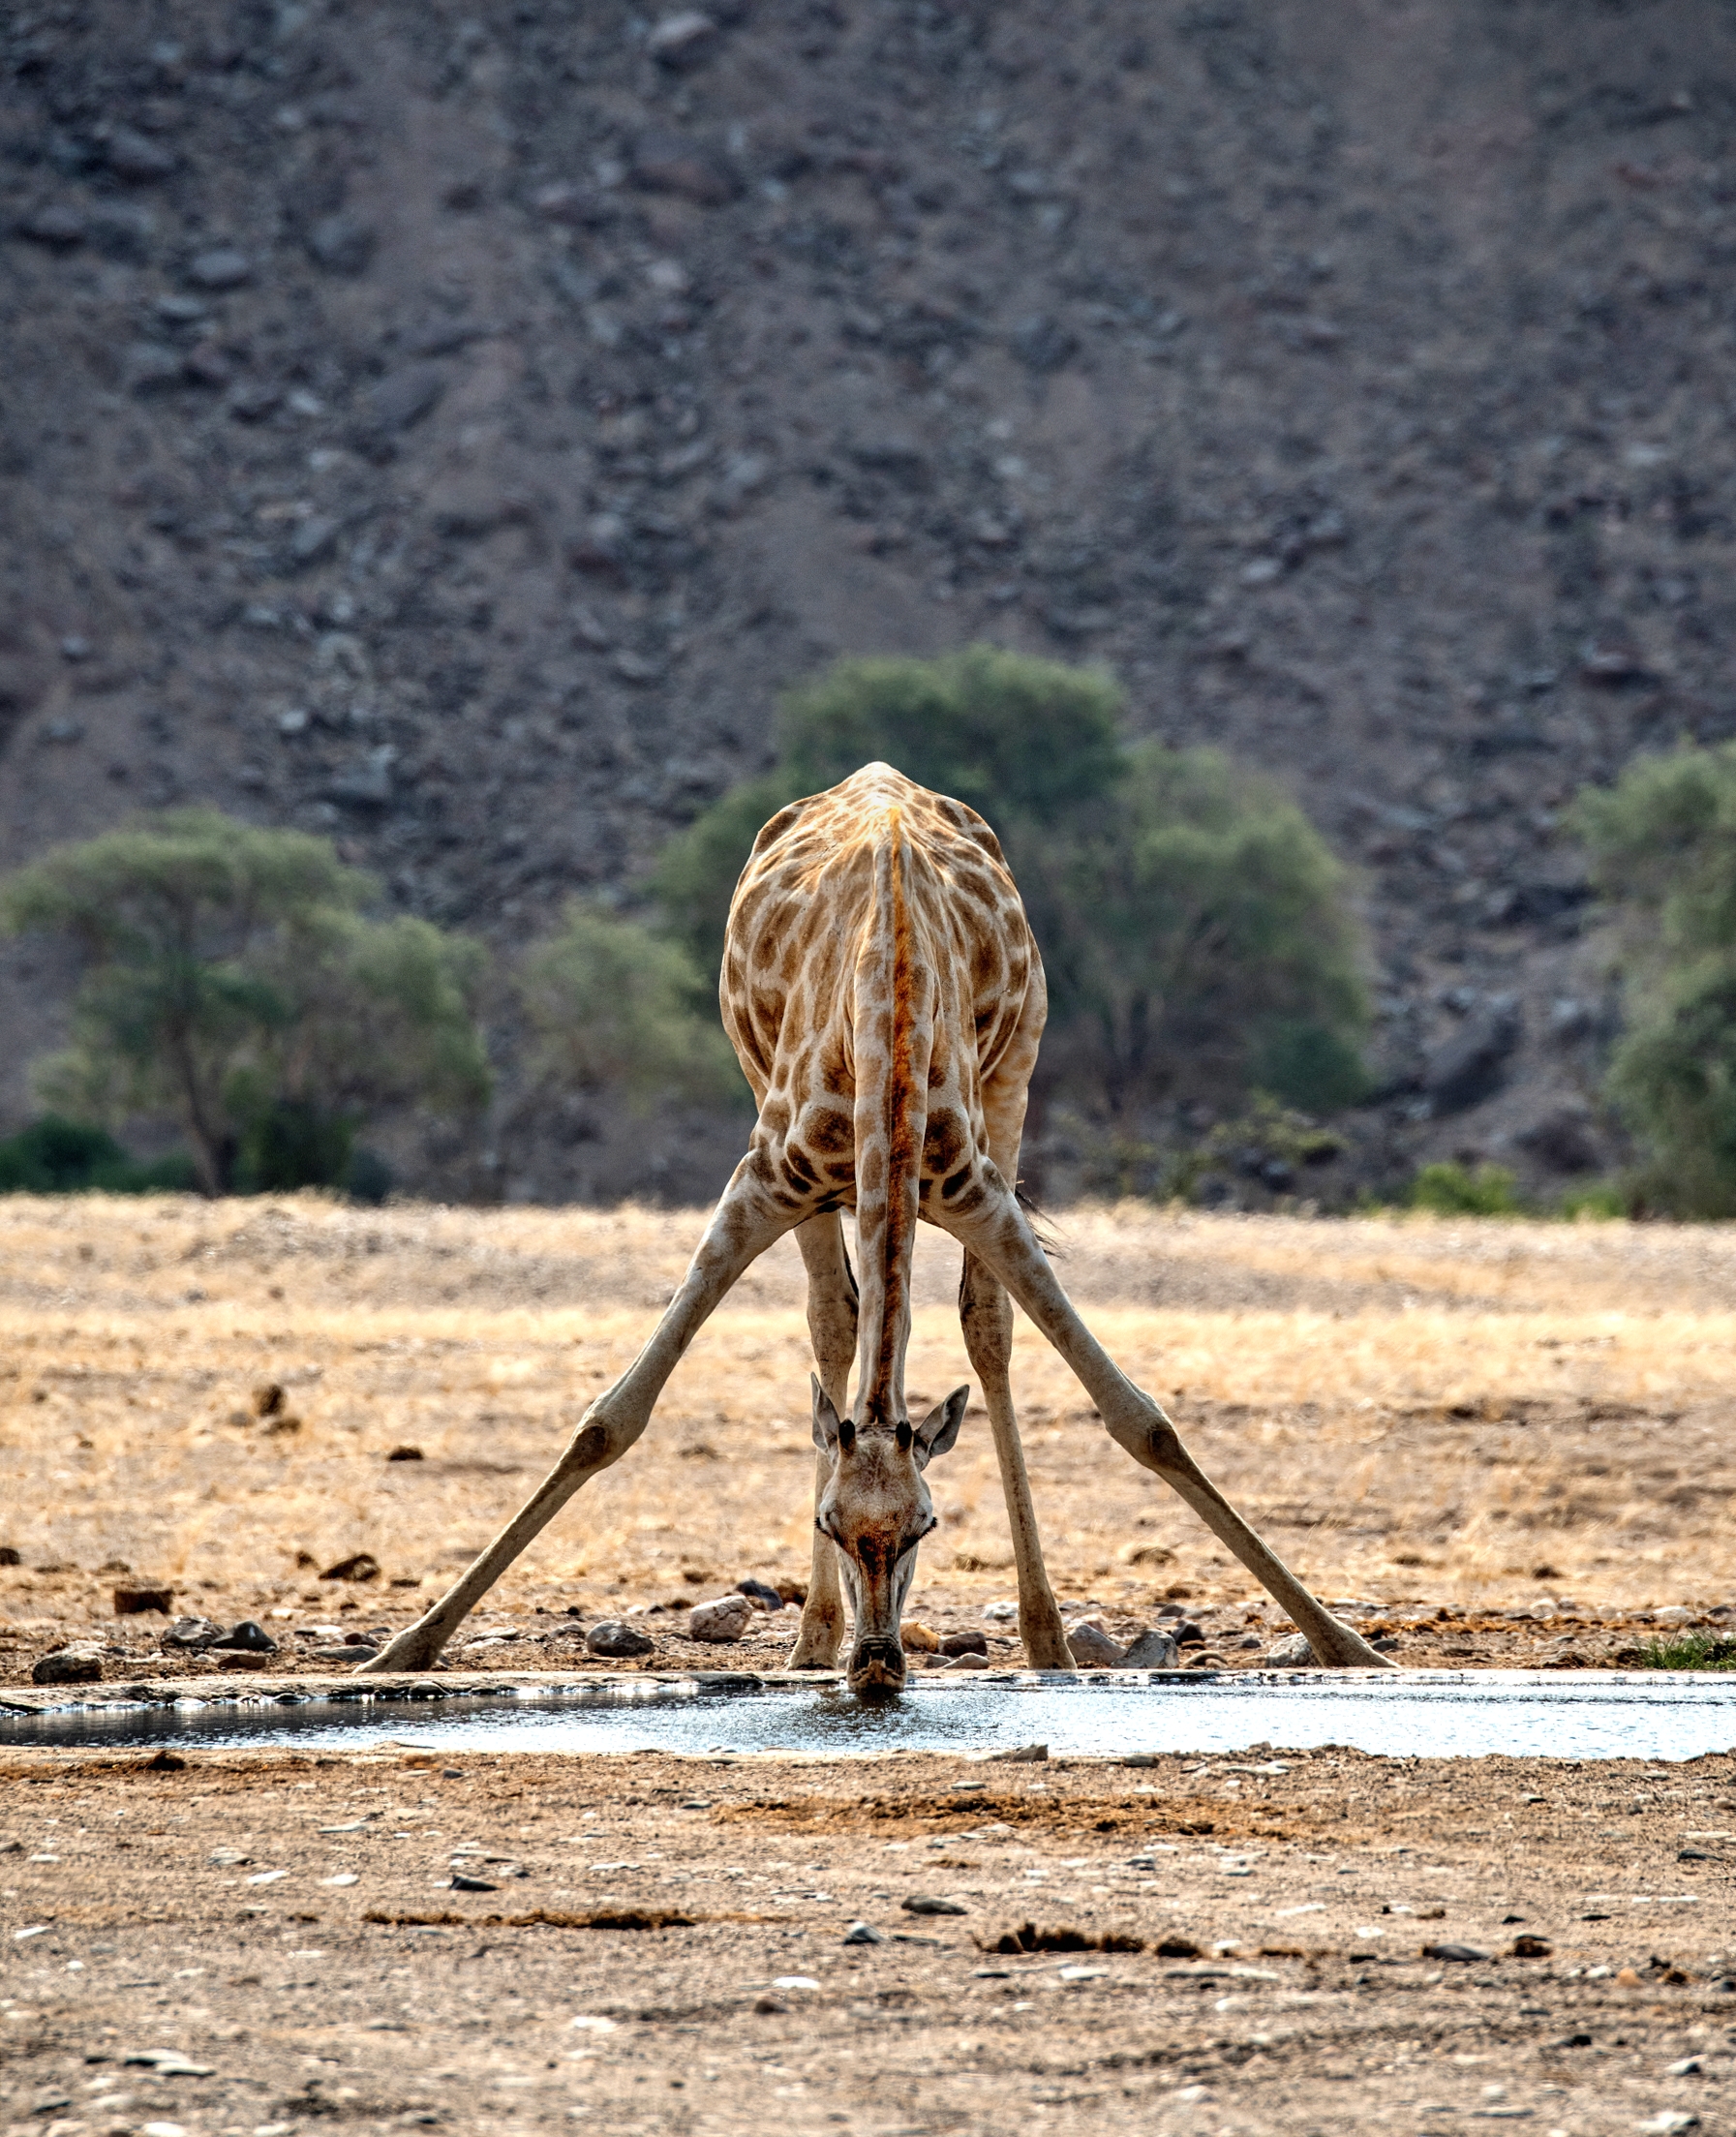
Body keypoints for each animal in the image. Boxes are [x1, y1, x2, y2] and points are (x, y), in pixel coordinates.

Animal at [360, 763, 1392, 1690]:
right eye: (828, 1522)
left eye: (926, 1525)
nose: (880, 1664)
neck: (883, 1024)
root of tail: (879, 778)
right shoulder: (763, 1177)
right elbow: (610, 1419)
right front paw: (404, 1648)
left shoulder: (977, 1187)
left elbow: (1142, 1419)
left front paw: (1350, 1646)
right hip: (778, 1118)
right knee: (835, 1319)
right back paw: (810, 1637)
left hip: (1014, 1075)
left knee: (979, 1325)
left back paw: (1041, 1640)